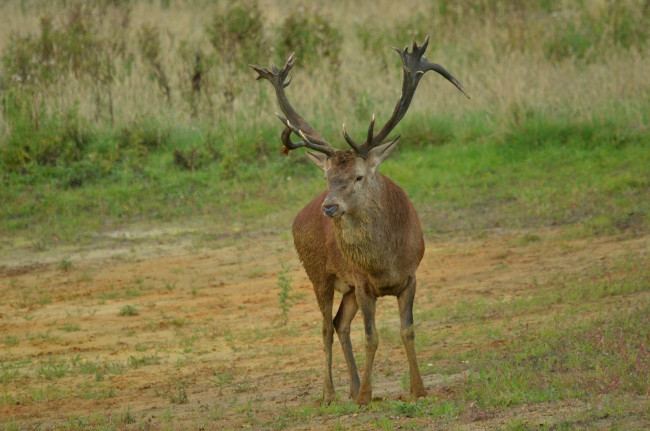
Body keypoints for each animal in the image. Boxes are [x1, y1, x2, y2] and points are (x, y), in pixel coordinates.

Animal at [251, 36, 468, 404]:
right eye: (327, 177)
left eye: (358, 176)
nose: (329, 207)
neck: (384, 263)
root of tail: (299, 216)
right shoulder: (364, 284)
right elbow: (373, 336)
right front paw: (367, 395)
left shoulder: (410, 276)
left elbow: (407, 330)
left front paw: (417, 389)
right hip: (318, 273)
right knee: (326, 327)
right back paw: (331, 394)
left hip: (347, 287)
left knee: (340, 323)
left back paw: (351, 387)